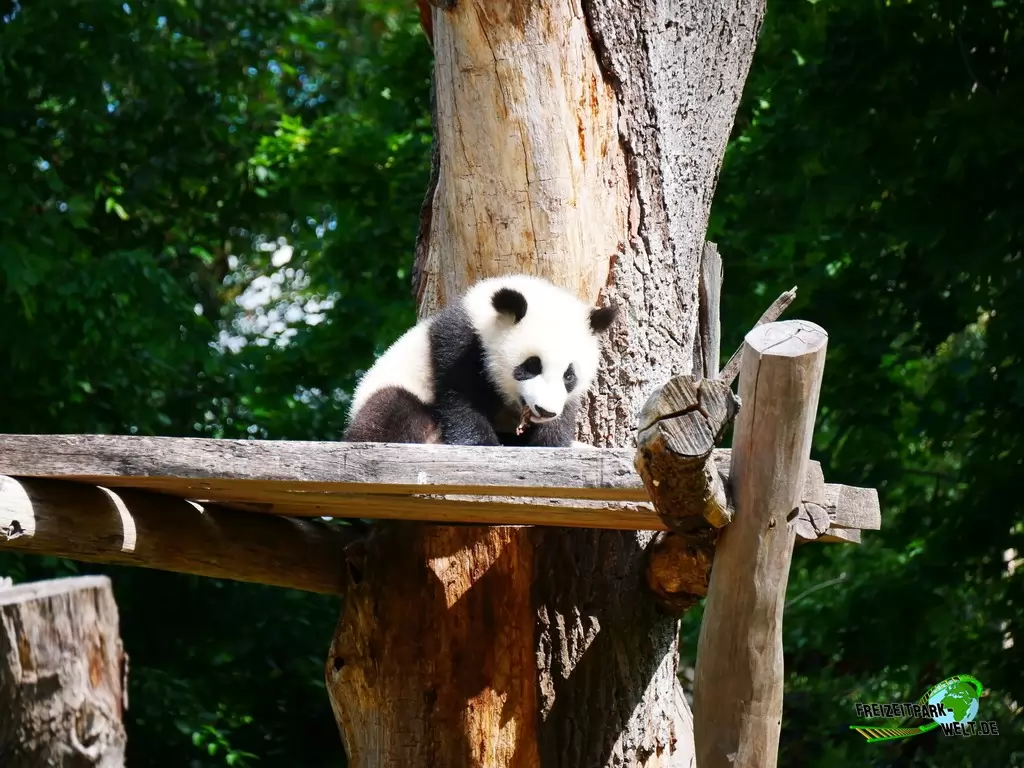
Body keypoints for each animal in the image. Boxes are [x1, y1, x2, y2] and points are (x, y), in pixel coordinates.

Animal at [342, 274, 618, 447]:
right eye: (531, 366)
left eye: (569, 375)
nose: (545, 410)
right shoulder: (460, 344)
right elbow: (461, 398)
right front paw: (481, 442)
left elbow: (563, 416)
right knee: (393, 409)